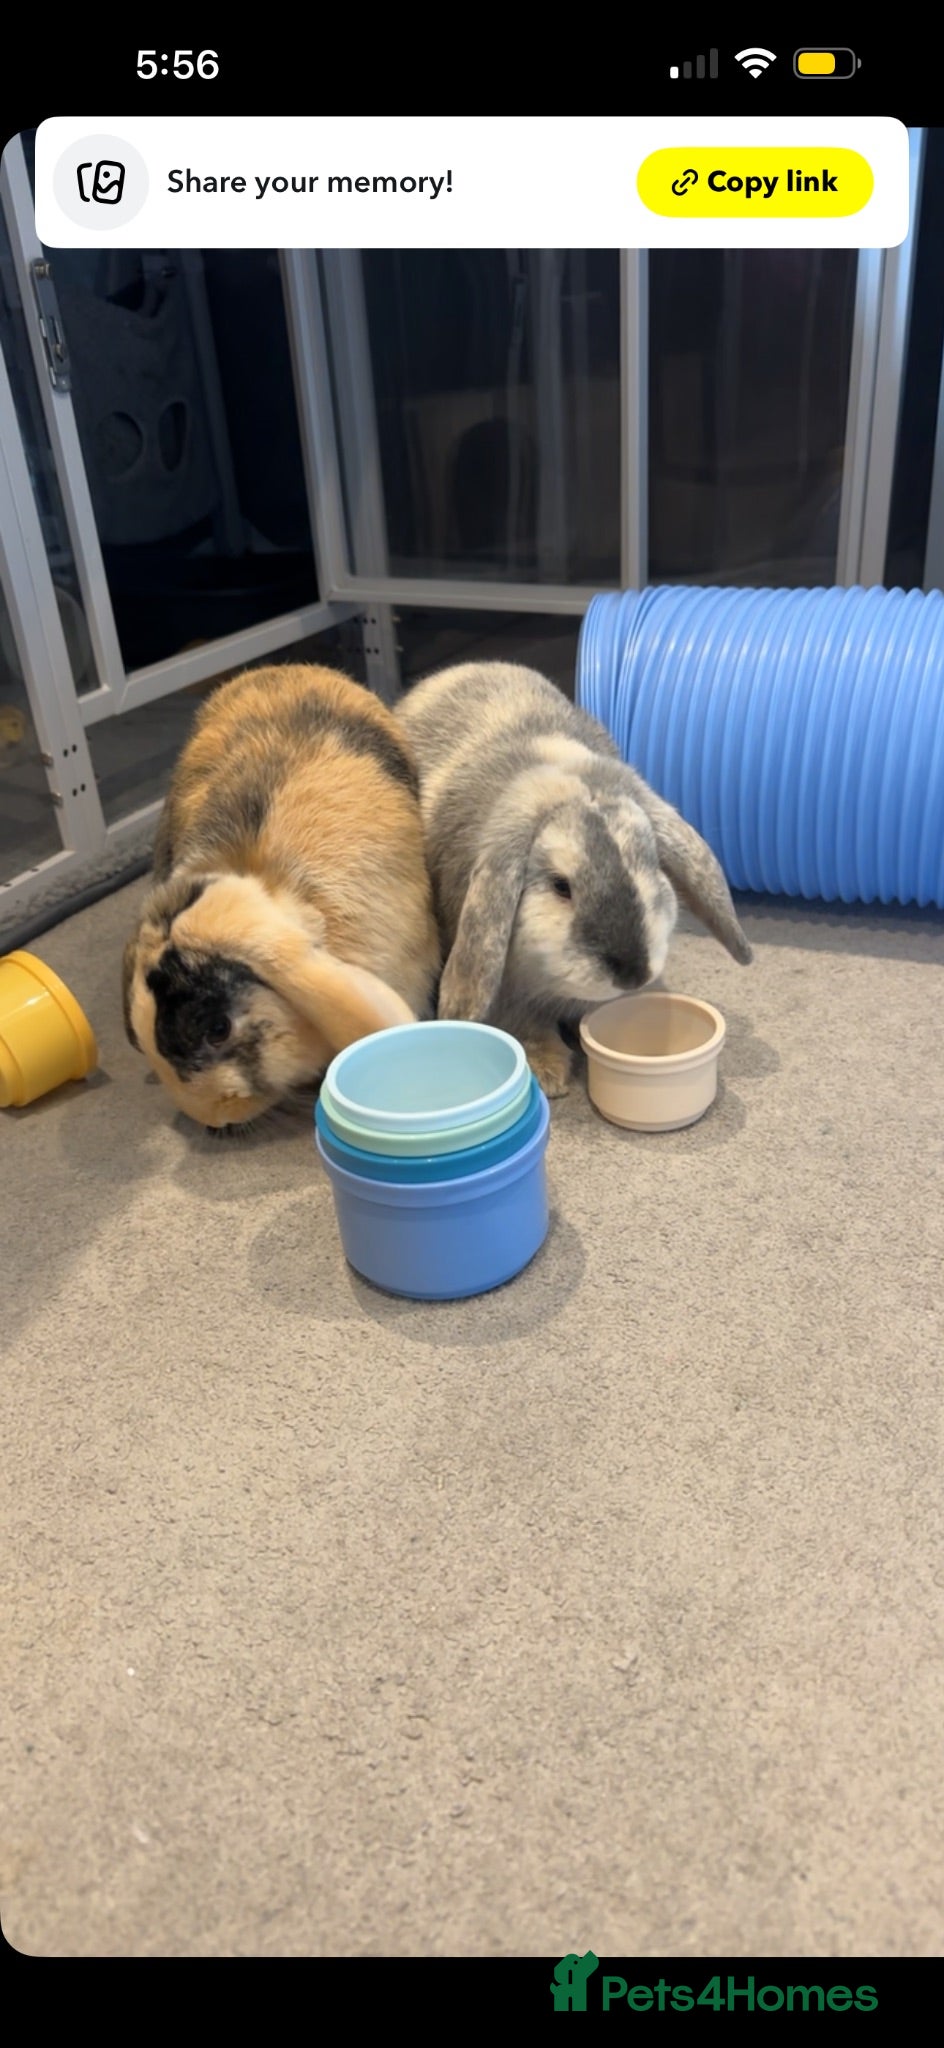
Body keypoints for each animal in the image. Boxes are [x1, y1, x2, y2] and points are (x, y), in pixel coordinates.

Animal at [396, 660, 752, 1097]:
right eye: (560, 886)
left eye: (648, 866)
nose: (632, 973)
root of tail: (462, 668)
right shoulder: (508, 990)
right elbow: (523, 1024)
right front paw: (548, 1073)